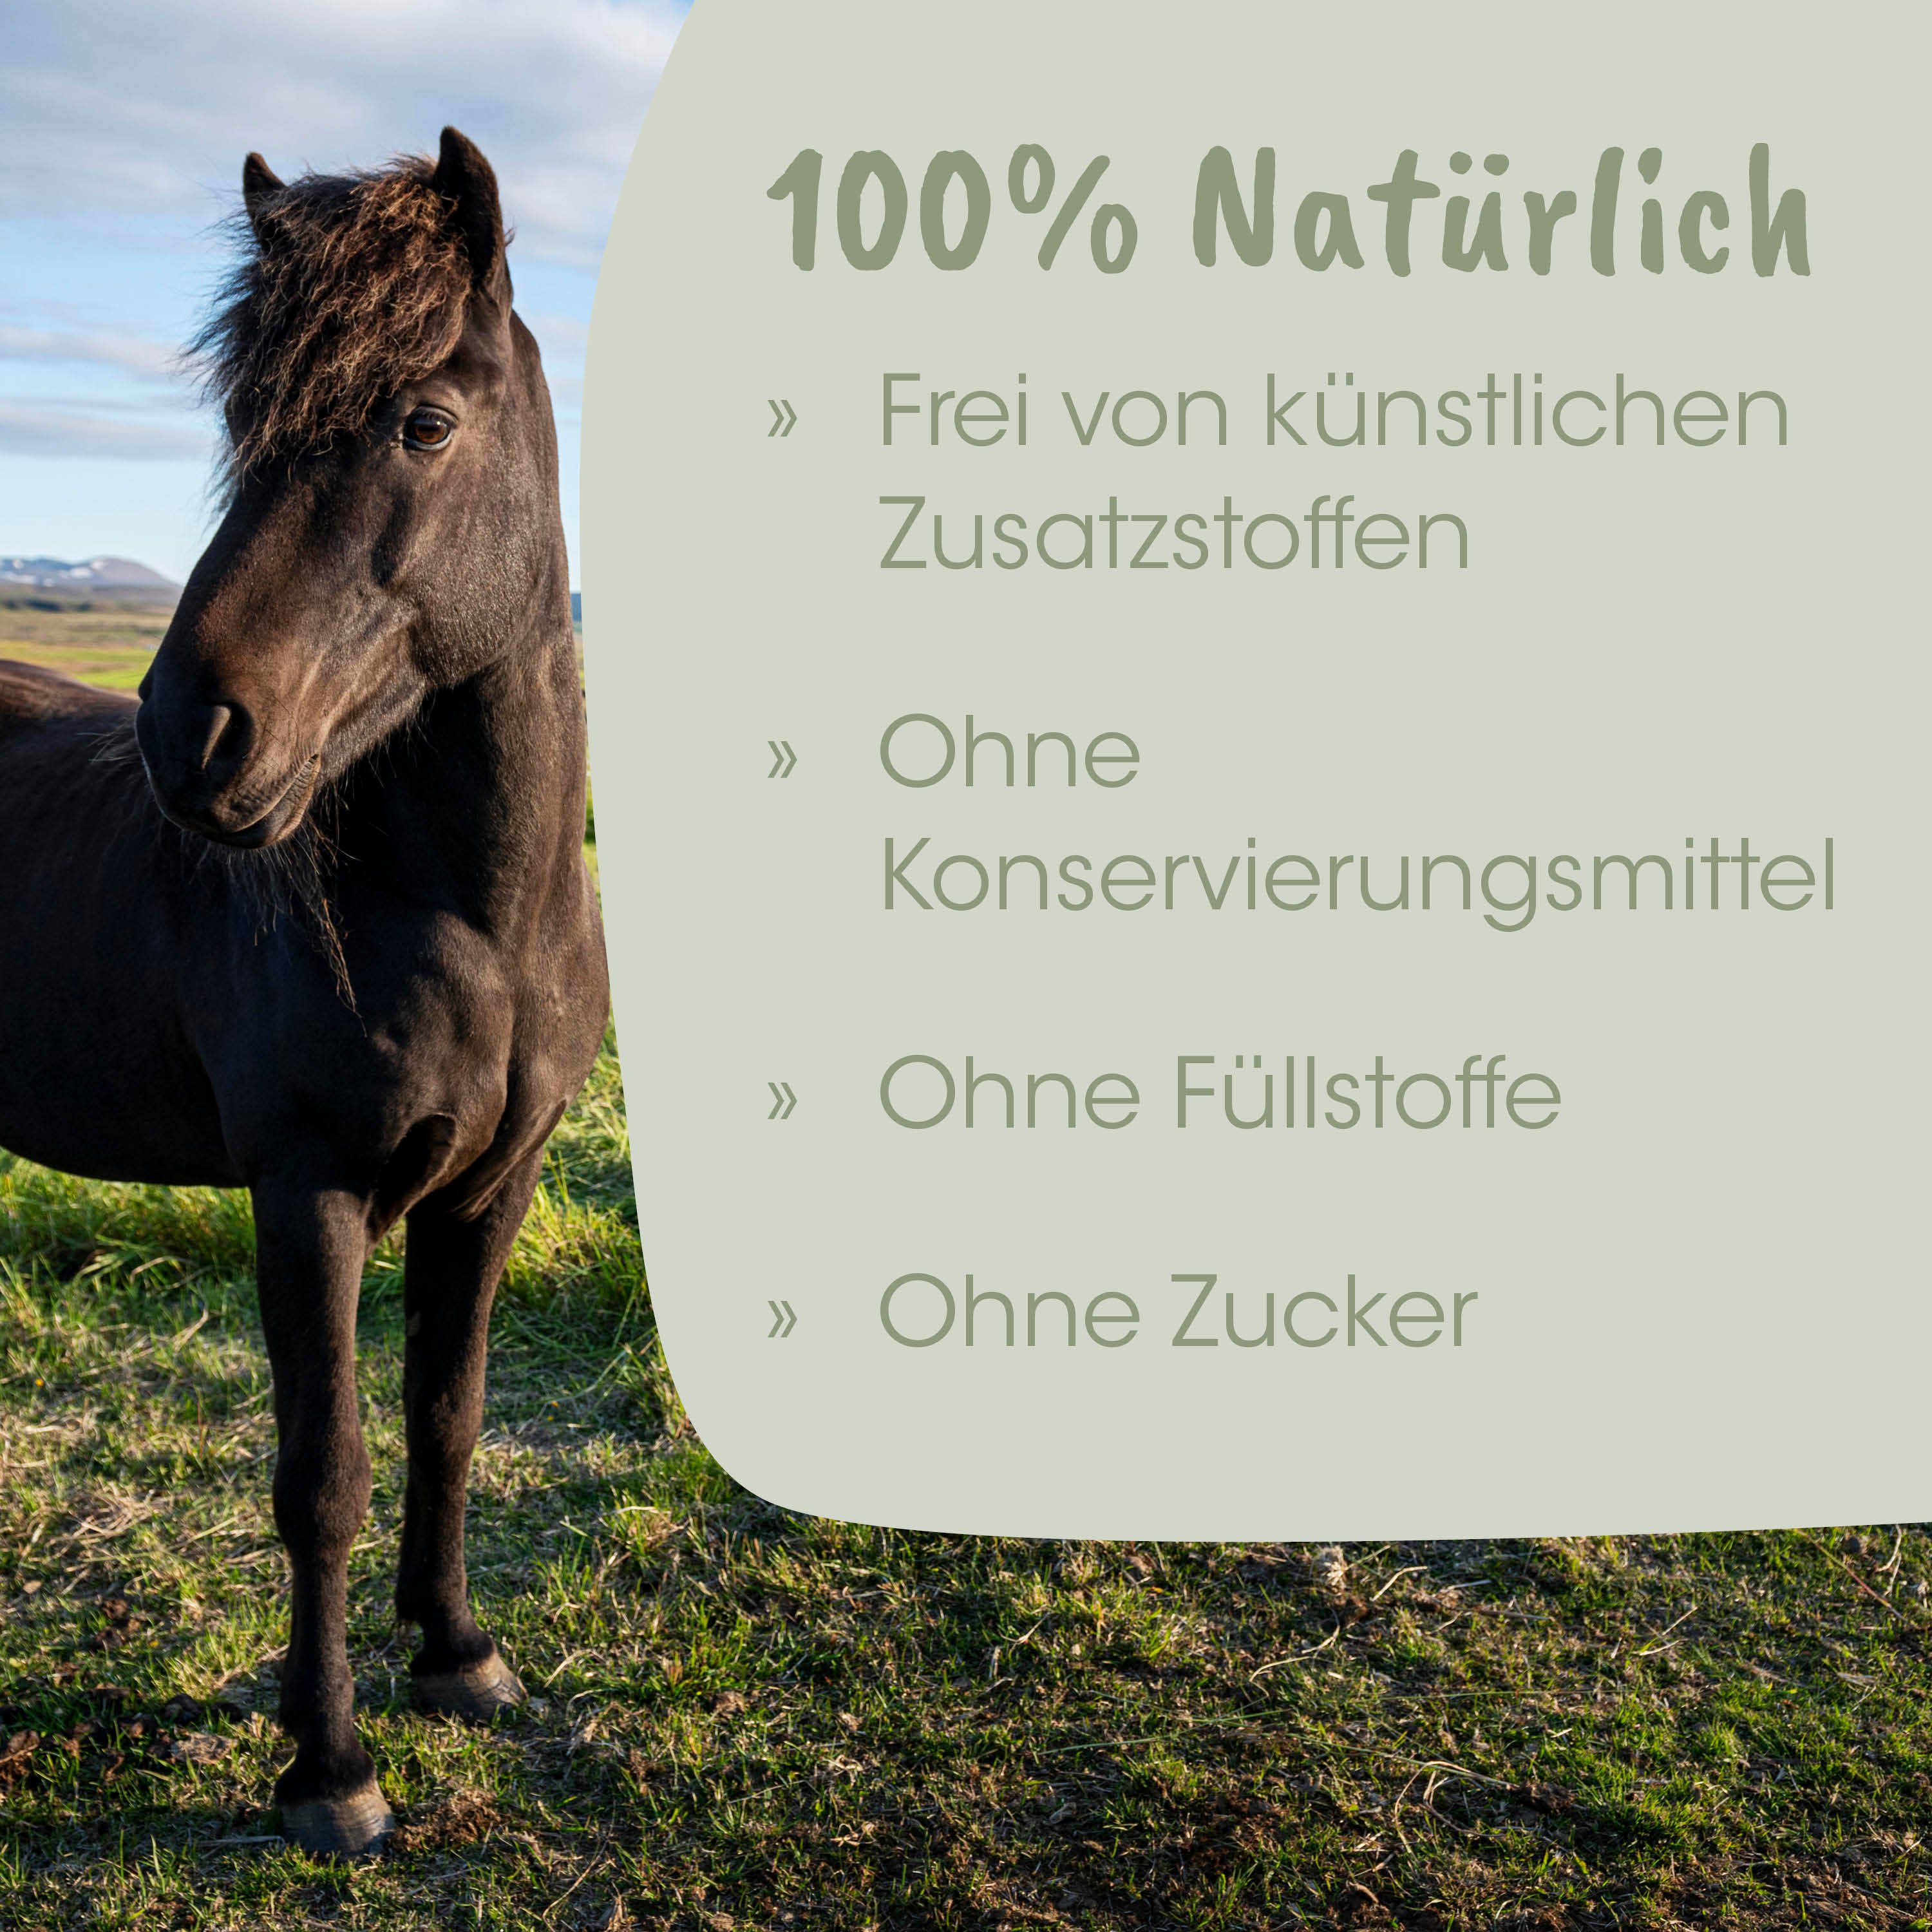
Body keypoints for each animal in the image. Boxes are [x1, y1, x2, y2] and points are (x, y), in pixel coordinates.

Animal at [0, 129, 609, 1856]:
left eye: (424, 420)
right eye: (244, 430)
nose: (190, 733)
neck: (470, 917)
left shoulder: (497, 1183)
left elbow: (449, 1412)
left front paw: (460, 1659)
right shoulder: (307, 1189)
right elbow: (321, 1471)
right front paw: (328, 1766)